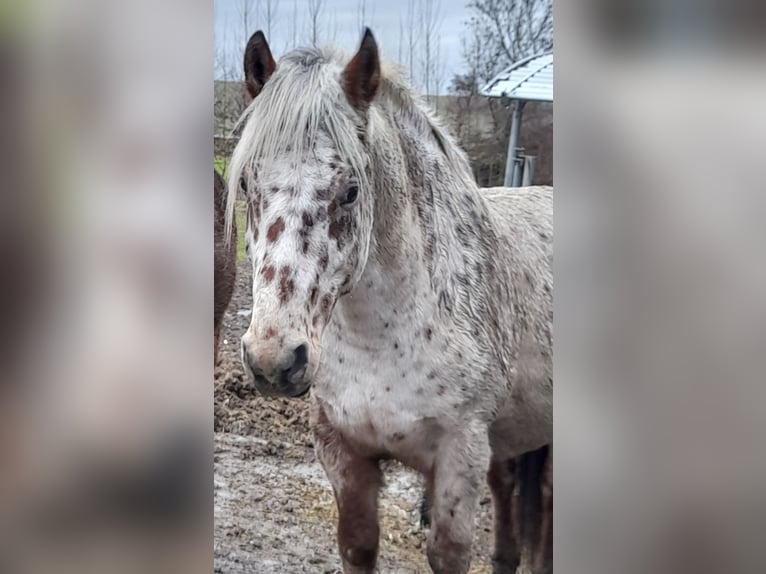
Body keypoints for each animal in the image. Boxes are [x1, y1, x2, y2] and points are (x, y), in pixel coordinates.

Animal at [226, 29, 552, 574]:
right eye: (248, 183)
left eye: (351, 191)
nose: (274, 361)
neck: (381, 339)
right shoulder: (342, 453)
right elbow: (357, 544)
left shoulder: (460, 460)